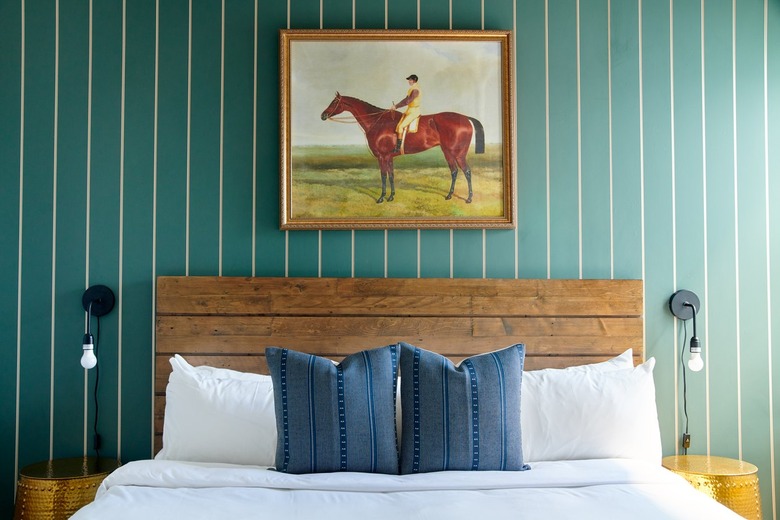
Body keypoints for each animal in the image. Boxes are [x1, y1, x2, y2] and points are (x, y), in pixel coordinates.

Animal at [322, 93, 482, 203]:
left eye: (334, 102)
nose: (323, 115)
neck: (377, 121)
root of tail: (465, 118)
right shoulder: (389, 157)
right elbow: (391, 175)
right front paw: (391, 196)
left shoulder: (382, 156)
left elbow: (383, 175)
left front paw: (381, 197)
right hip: (447, 152)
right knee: (454, 171)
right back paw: (449, 195)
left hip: (458, 154)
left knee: (466, 172)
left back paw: (469, 198)